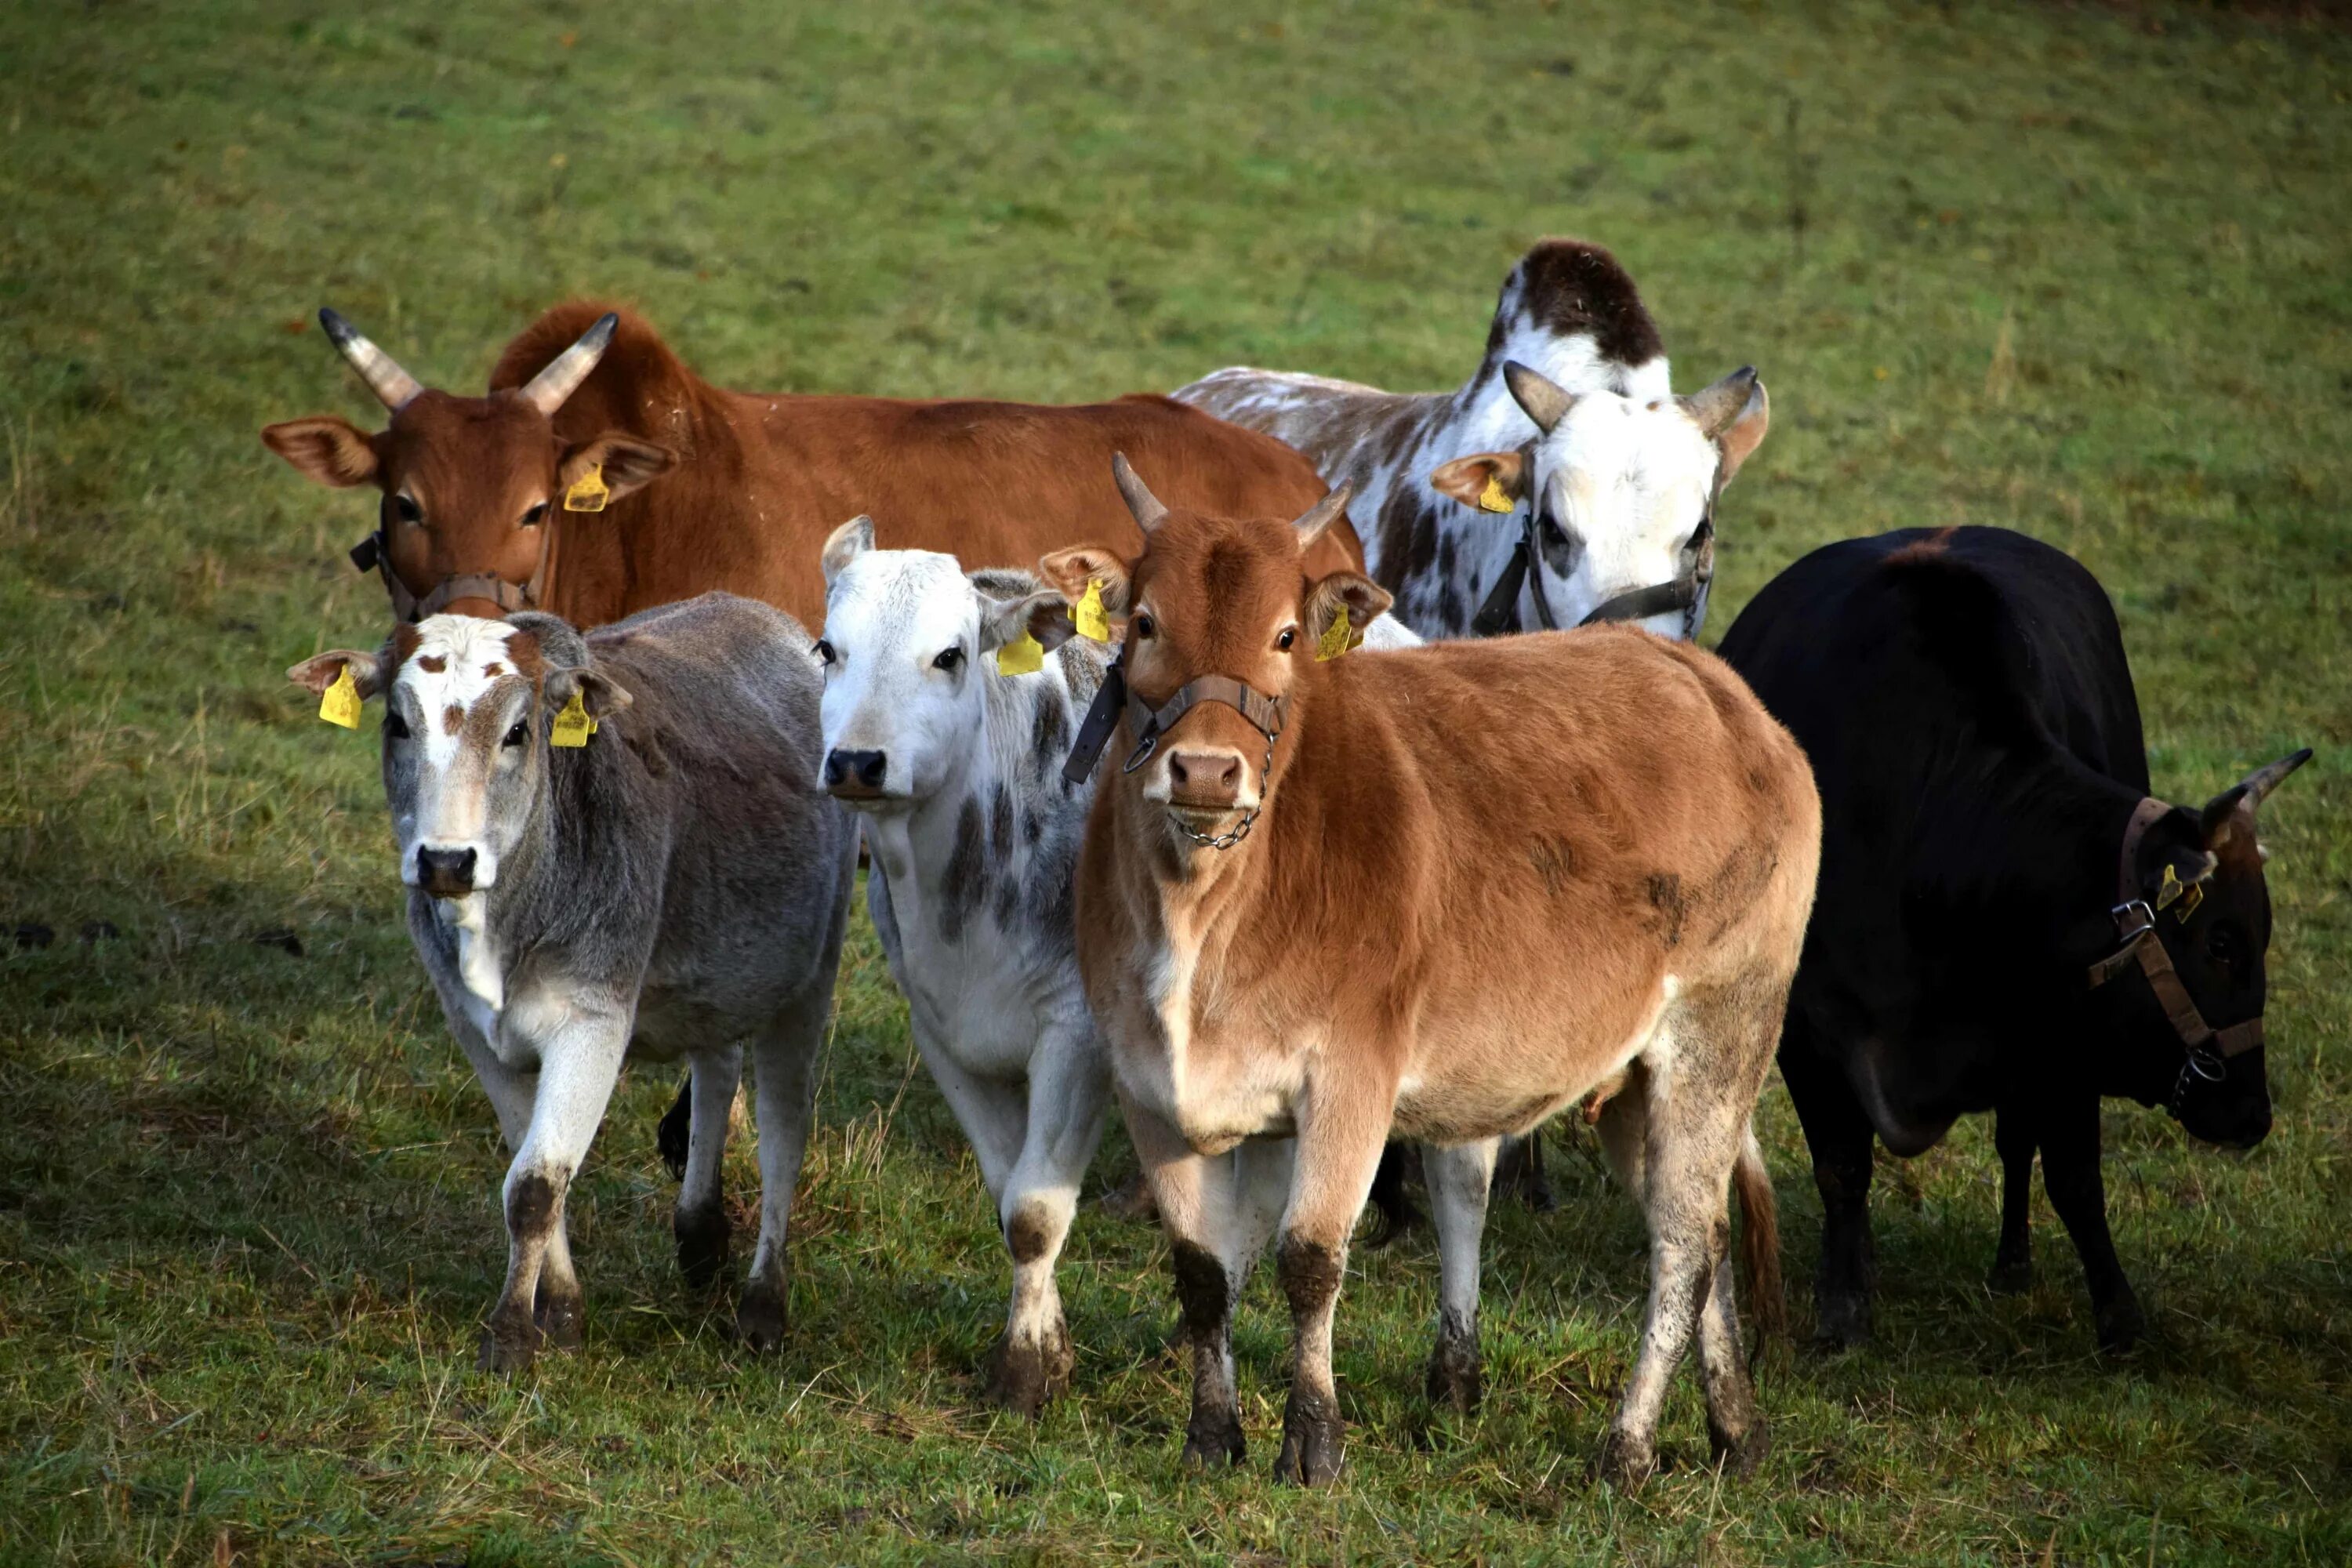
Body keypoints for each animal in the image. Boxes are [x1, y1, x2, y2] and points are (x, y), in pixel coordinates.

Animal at [1049, 460, 1816, 1495]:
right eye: (1144, 623)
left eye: (1285, 635)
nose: (1206, 771)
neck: (1202, 911)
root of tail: (1712, 684)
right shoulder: (1150, 1088)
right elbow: (1204, 1272)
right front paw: (1212, 1433)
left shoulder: (1351, 1077)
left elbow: (1310, 1259)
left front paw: (1314, 1439)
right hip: (1634, 1083)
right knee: (1706, 1234)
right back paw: (1735, 1423)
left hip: (1722, 1032)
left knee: (1683, 1244)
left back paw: (1628, 1444)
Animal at [1722, 524, 2305, 1354]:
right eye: (2220, 942)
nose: (2253, 1114)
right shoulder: (1803, 1029)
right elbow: (1841, 1169)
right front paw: (1842, 1311)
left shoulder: (2061, 1037)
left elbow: (2073, 1175)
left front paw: (2120, 1318)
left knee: (2016, 1144)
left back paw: (2012, 1265)